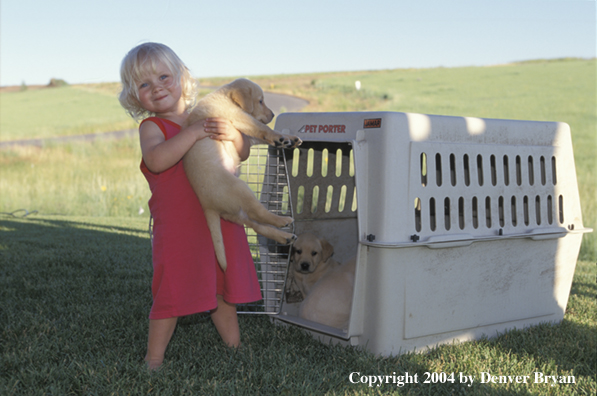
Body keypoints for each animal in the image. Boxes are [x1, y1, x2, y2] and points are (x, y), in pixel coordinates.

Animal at [183, 79, 302, 270]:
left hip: (237, 212)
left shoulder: (245, 133)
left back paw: (284, 236)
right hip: (240, 189)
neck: (226, 98)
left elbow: (262, 135)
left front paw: (289, 140)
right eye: (260, 101)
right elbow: (264, 129)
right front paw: (280, 138)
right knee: (259, 213)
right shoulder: (241, 118)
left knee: (258, 226)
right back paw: (282, 221)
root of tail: (208, 206)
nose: (273, 114)